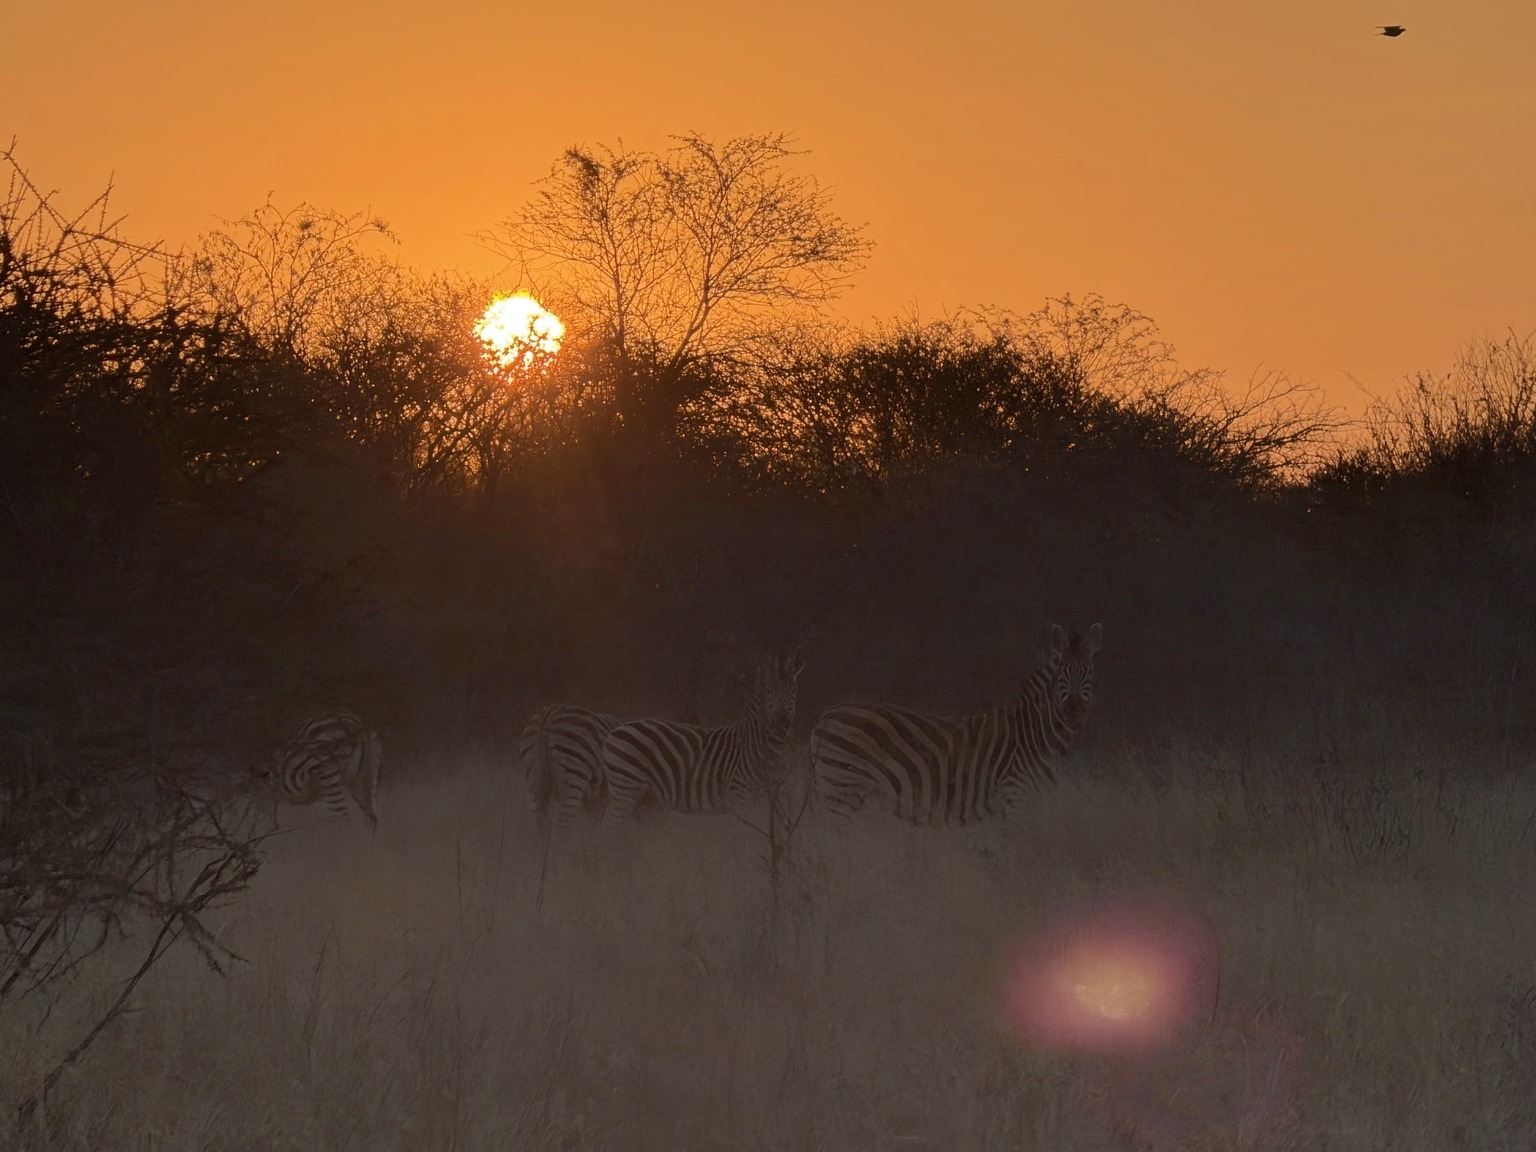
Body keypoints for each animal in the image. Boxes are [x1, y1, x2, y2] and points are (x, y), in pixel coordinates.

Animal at [518, 704, 622, 833]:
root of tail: (546, 718)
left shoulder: (595, 798)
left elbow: (592, 825)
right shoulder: (602, 794)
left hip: (536, 779)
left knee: (540, 825)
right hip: (573, 774)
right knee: (563, 825)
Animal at [602, 652, 804, 821]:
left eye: (793, 691)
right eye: (769, 692)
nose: (781, 722)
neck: (769, 747)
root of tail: (617, 728)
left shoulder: (776, 797)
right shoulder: (739, 796)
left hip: (647, 798)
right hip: (626, 787)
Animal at [811, 623, 1101, 825]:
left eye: (1089, 673)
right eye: (1062, 675)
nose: (1074, 710)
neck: (1036, 735)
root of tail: (826, 714)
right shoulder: (1016, 799)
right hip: (842, 789)